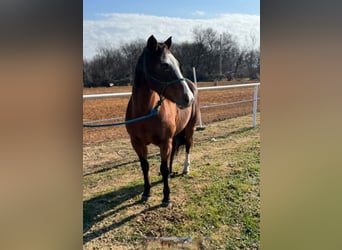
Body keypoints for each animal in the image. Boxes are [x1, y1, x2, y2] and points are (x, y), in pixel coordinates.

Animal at [125, 35, 200, 207]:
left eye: (177, 64)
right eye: (164, 66)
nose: (188, 98)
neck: (146, 112)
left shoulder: (165, 142)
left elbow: (163, 167)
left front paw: (166, 197)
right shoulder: (136, 143)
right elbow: (145, 166)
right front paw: (146, 193)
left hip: (189, 129)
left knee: (188, 146)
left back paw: (185, 169)